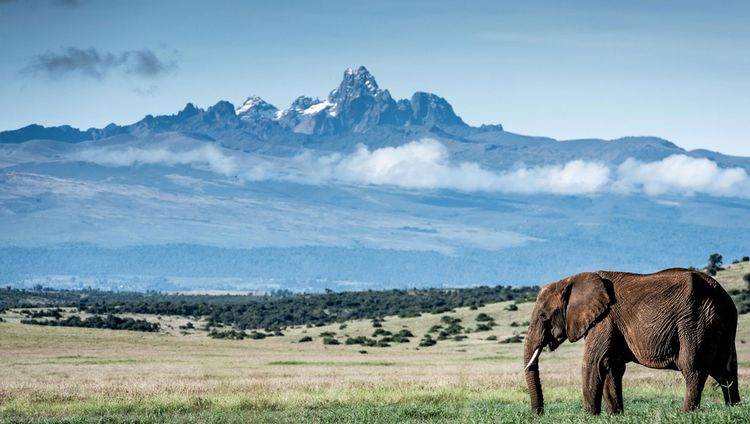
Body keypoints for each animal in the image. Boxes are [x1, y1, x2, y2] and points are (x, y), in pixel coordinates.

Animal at [524, 268, 744, 414]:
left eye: (543, 316)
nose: (539, 414)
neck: (572, 280)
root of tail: (720, 293)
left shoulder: (605, 319)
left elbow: (594, 363)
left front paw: (590, 417)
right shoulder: (609, 323)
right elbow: (610, 366)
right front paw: (615, 416)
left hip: (695, 322)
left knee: (693, 368)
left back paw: (687, 414)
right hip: (719, 322)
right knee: (726, 371)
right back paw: (733, 410)